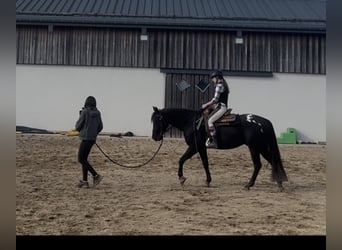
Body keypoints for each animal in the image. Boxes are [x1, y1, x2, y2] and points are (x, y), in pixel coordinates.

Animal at [151, 106, 288, 191]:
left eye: (157, 120)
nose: (155, 137)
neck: (190, 122)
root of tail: (264, 121)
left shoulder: (194, 147)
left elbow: (181, 160)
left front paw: (181, 178)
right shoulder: (202, 148)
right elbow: (205, 163)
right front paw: (208, 181)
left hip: (254, 147)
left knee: (258, 165)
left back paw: (248, 185)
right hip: (261, 147)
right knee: (273, 161)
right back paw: (279, 183)